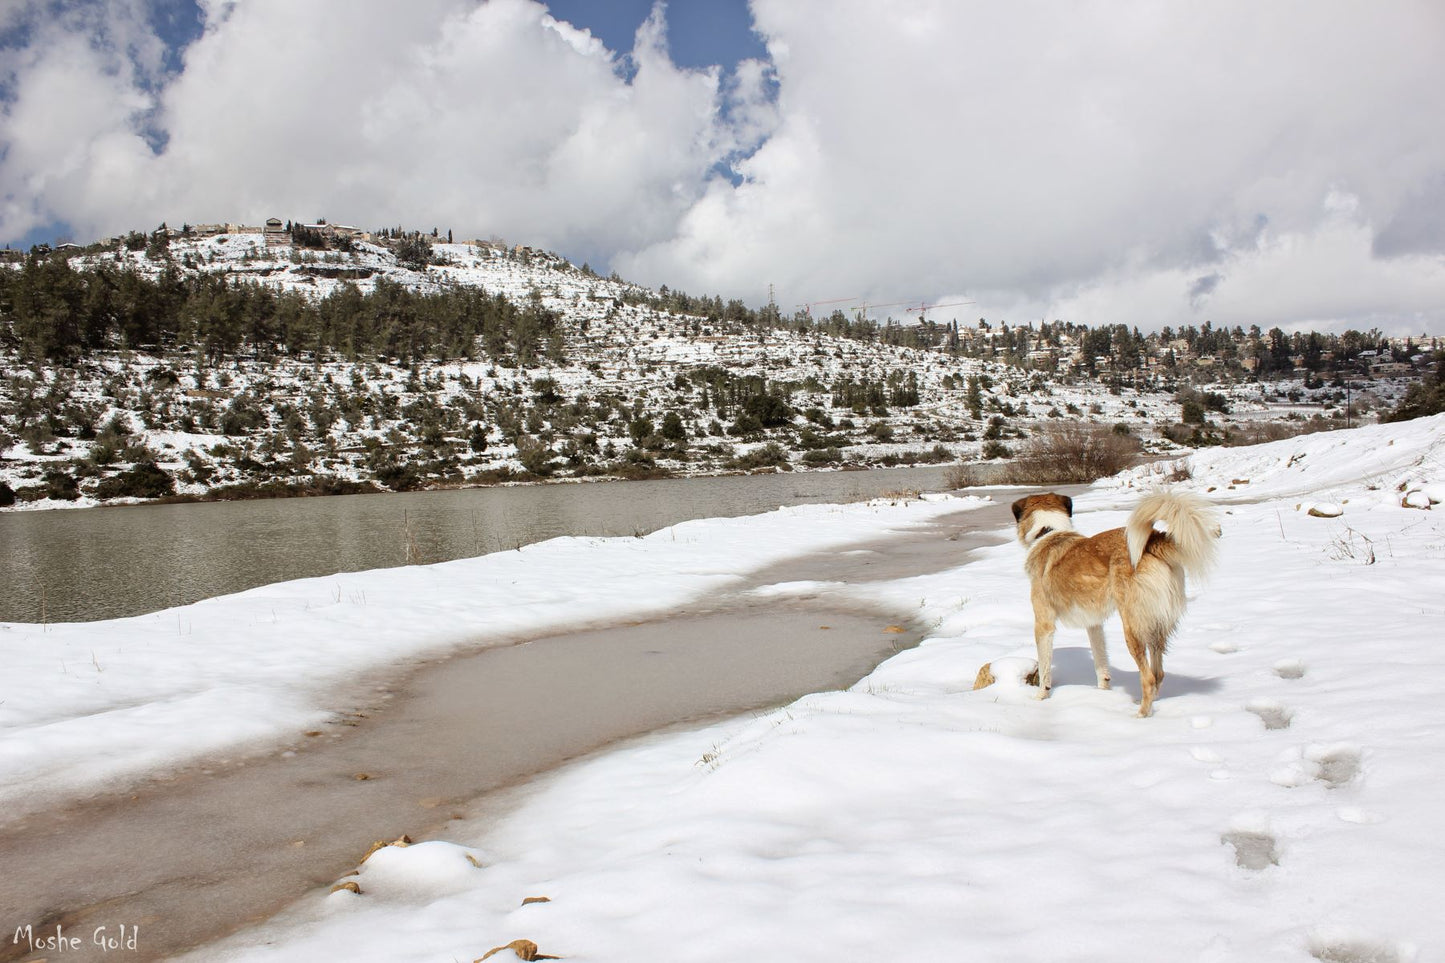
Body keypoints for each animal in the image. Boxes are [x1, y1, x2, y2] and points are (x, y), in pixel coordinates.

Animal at [1017, 491, 1219, 717]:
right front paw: (1103, 693)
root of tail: (1153, 540)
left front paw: (1039, 698)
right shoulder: (1094, 625)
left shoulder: (1044, 624)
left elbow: (1045, 669)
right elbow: (1101, 664)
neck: (1048, 532)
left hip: (1132, 626)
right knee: (1158, 673)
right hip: (1155, 624)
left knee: (1148, 677)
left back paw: (1141, 714)